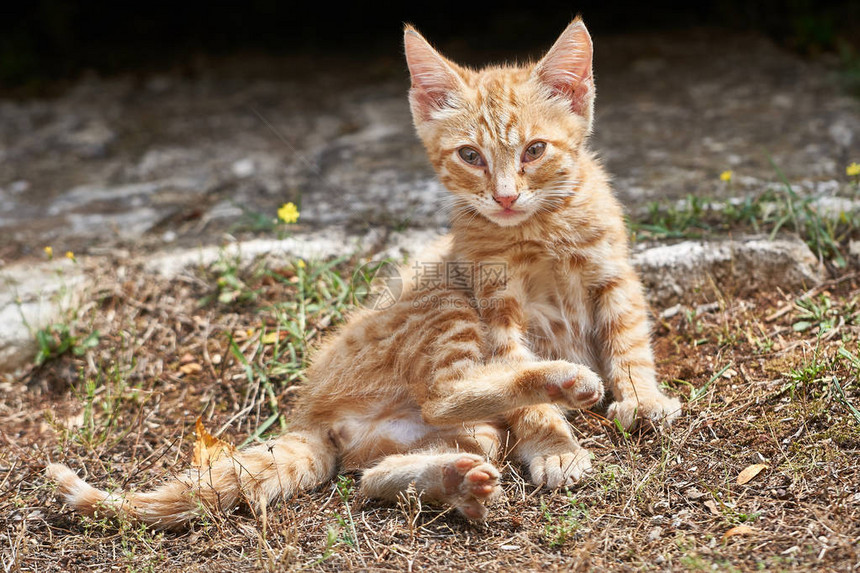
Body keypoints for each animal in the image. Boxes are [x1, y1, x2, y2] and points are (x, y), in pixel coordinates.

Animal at [48, 17, 680, 528]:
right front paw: (552, 444)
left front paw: (642, 397)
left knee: (376, 477)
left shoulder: (614, 274)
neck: (540, 230)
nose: (503, 197)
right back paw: (557, 383)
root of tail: (310, 413)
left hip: (456, 431)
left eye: (534, 150)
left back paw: (454, 483)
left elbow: (628, 339)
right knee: (444, 396)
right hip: (443, 301)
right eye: (470, 156)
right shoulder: (495, 306)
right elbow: (519, 374)